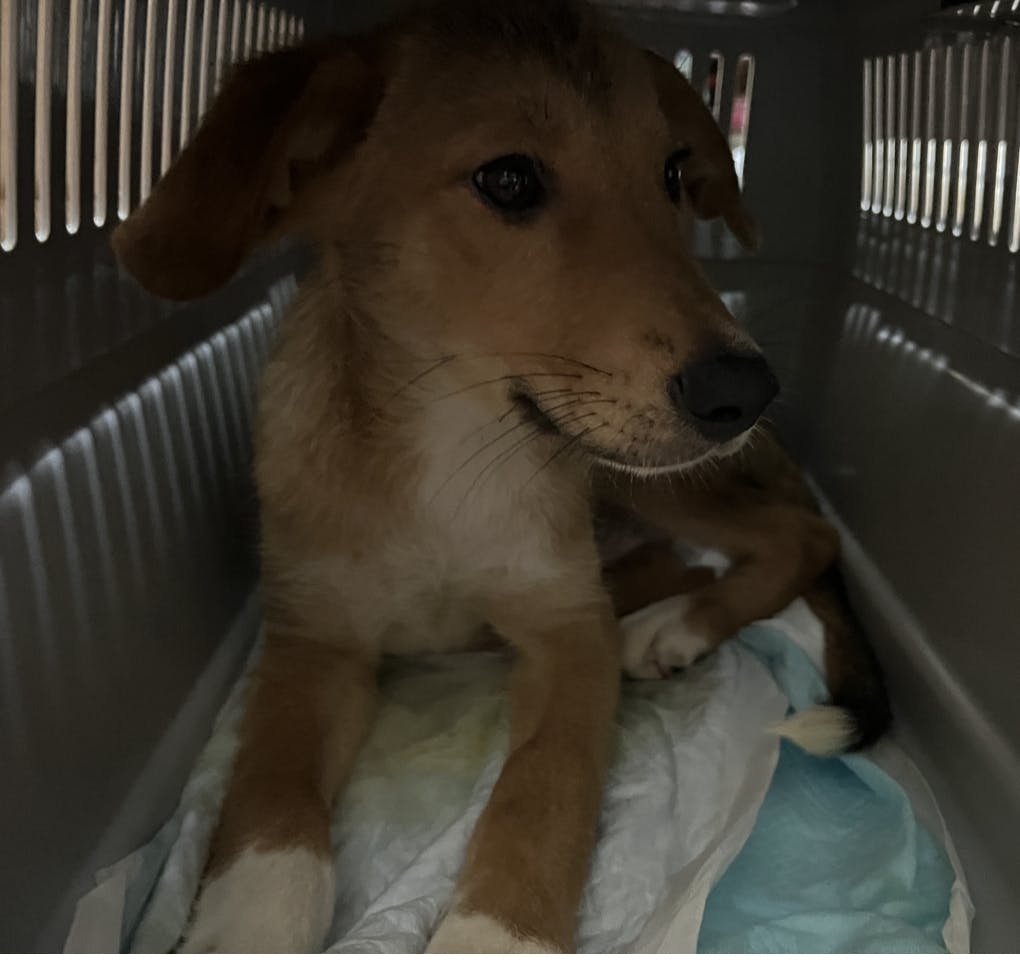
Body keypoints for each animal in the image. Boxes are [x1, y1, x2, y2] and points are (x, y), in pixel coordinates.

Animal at [113, 0, 890, 952]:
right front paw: (246, 921)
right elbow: (271, 793)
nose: (744, 389)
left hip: (647, 476)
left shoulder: (569, 629)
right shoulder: (309, 636)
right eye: (509, 180)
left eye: (673, 171)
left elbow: (540, 792)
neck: (451, 445)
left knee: (804, 535)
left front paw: (494, 933)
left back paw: (675, 625)